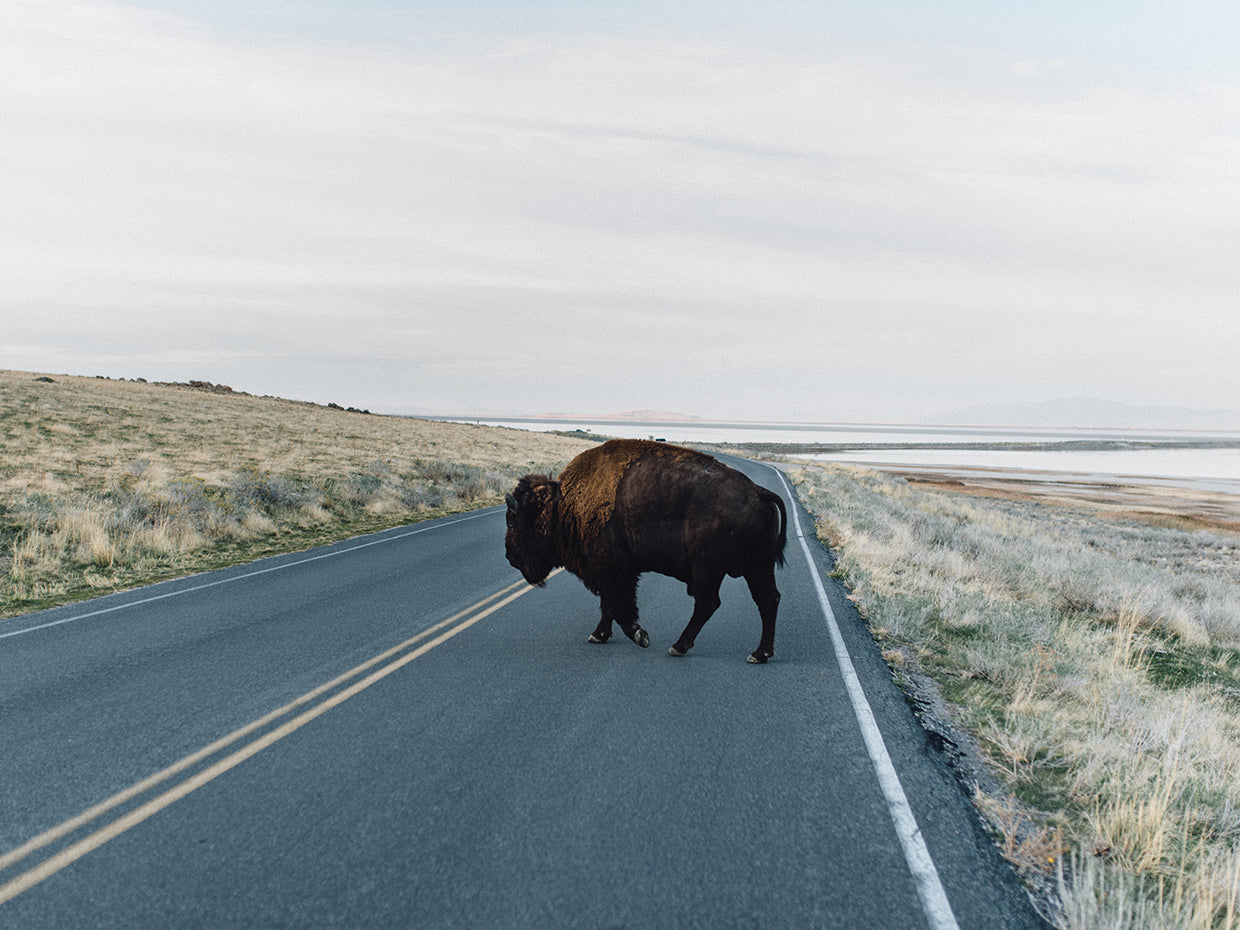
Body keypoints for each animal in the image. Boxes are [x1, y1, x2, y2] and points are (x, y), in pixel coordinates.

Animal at [505, 439, 787, 663]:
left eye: (514, 522)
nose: (509, 556)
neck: (562, 505)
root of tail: (759, 492)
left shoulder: (613, 570)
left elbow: (618, 606)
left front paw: (639, 635)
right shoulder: (609, 572)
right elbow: (607, 605)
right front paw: (599, 635)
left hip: (709, 569)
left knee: (709, 603)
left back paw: (678, 647)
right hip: (757, 566)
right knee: (767, 599)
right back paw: (760, 654)